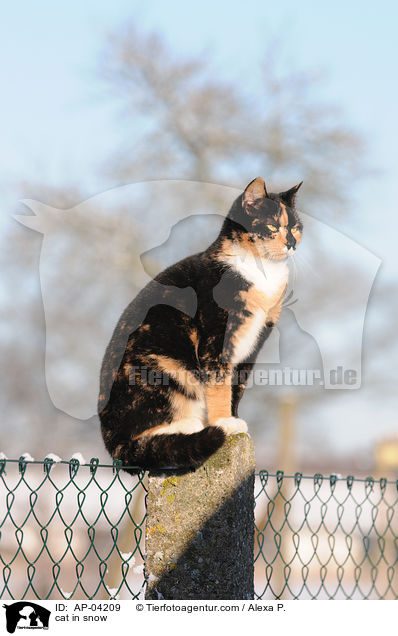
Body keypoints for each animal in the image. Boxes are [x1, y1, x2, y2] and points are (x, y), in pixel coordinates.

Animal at [98, 179, 302, 472]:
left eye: (296, 227)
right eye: (273, 226)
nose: (292, 243)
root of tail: (110, 441)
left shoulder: (253, 346)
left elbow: (236, 387)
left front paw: (233, 418)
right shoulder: (215, 337)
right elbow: (218, 383)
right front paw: (224, 422)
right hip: (159, 365)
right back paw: (191, 425)